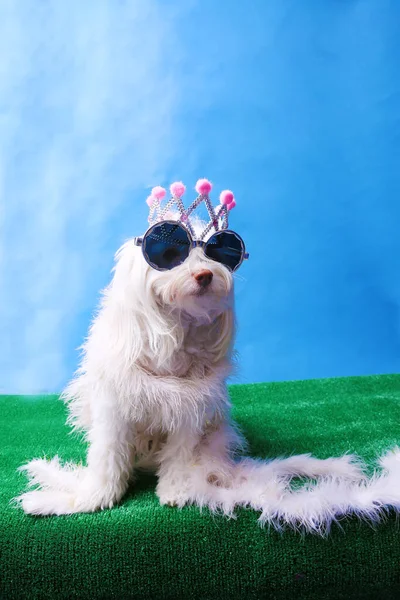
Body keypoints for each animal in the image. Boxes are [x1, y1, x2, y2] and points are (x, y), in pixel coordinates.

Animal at [12, 184, 400, 536]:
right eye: (169, 252)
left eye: (222, 252)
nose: (205, 274)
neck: (176, 331)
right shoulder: (115, 408)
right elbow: (107, 459)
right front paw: (91, 498)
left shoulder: (191, 410)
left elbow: (180, 455)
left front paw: (176, 489)